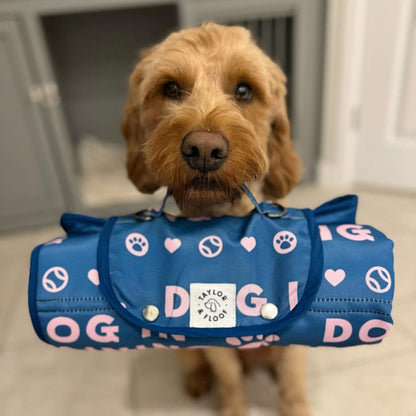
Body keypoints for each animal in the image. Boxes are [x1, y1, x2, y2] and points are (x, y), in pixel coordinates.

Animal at [121, 22, 308, 416]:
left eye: (244, 90)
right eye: (170, 88)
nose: (204, 149)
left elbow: (293, 384)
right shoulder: (211, 338)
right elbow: (229, 377)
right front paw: (232, 406)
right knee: (193, 362)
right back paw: (196, 380)